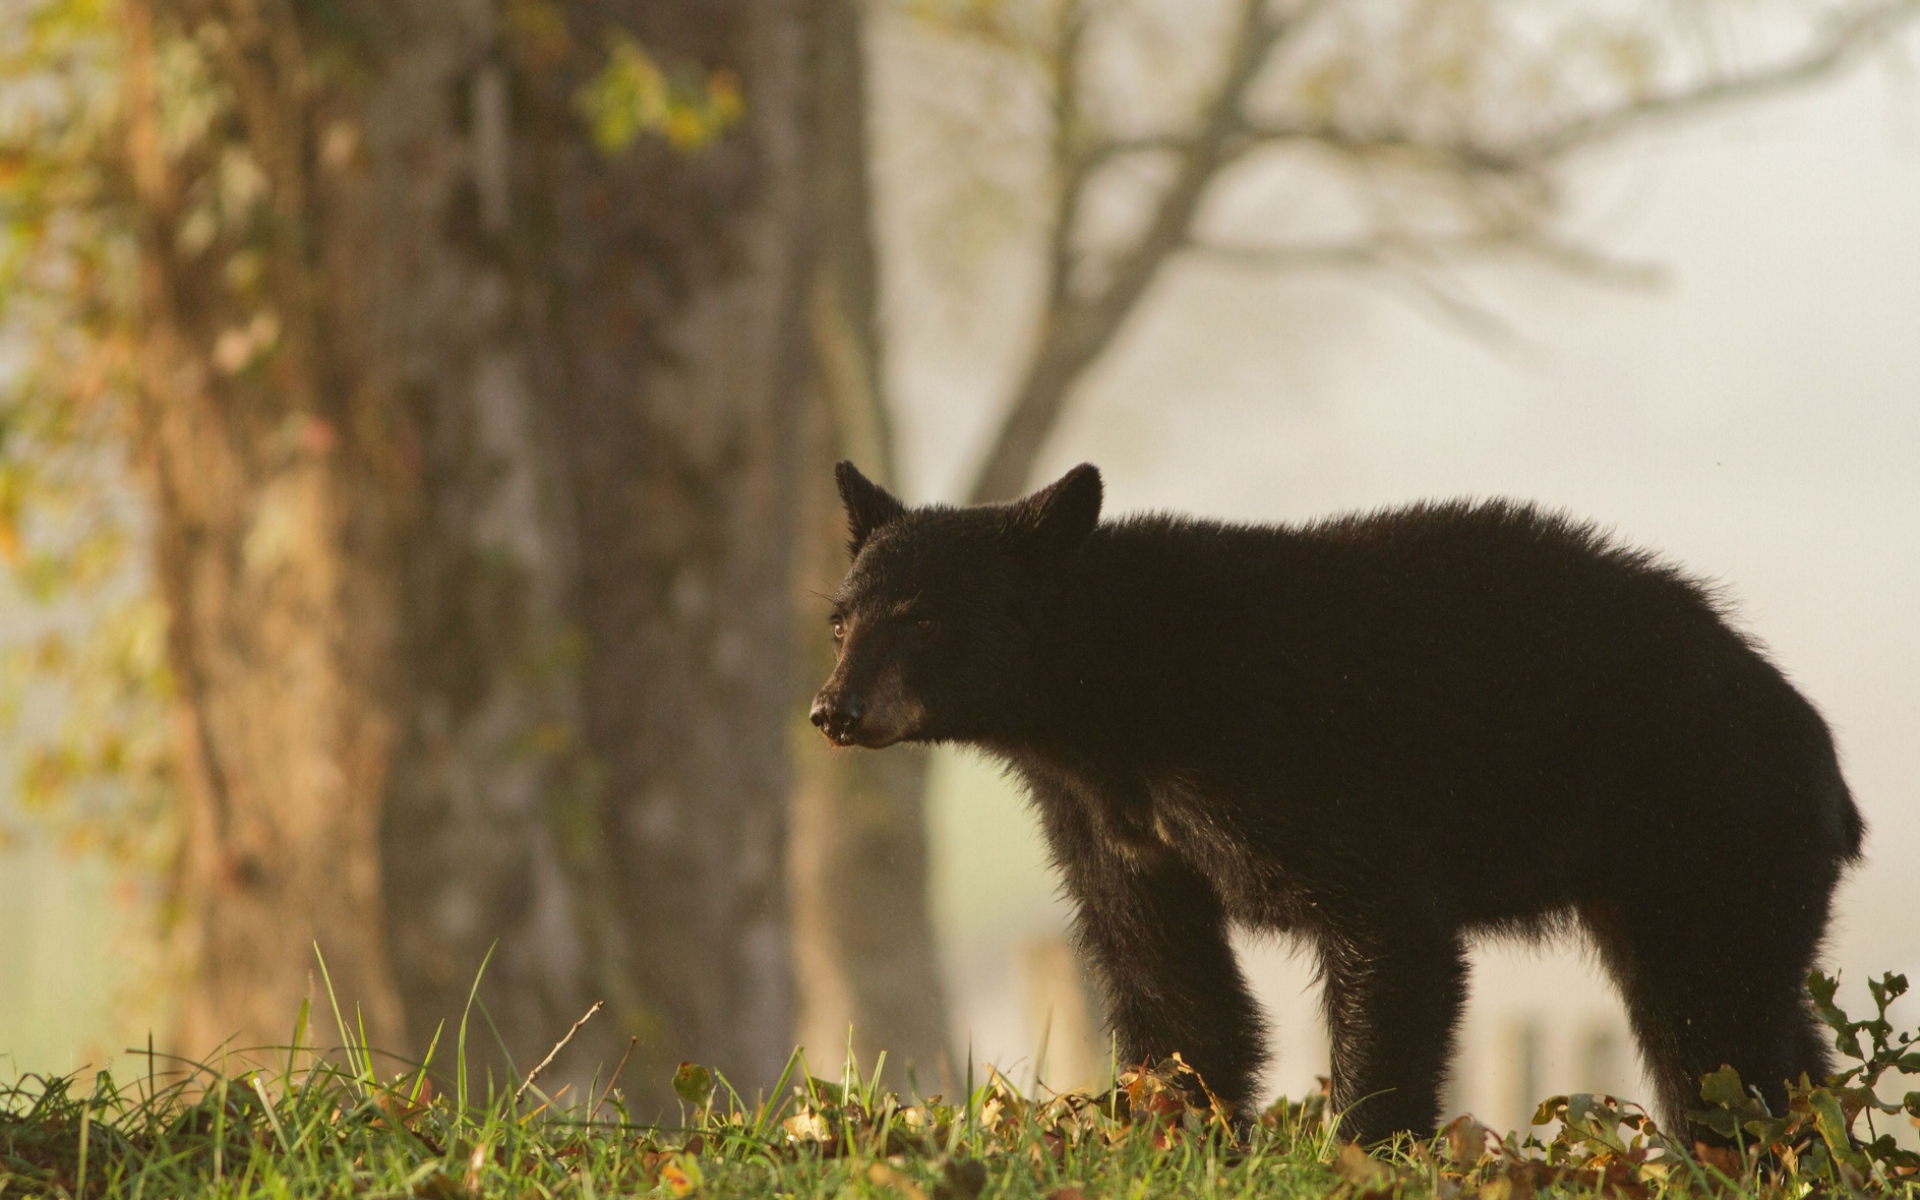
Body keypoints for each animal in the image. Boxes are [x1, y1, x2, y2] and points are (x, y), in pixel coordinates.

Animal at [809, 460, 1864, 1145]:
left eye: (925, 618)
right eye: (841, 618)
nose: (834, 710)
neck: (1118, 699)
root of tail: (1829, 769)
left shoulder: (1289, 767)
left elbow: (1387, 932)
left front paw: (1361, 1146)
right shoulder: (1107, 820)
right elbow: (1164, 972)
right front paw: (1174, 1135)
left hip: (1711, 834)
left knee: (1715, 1037)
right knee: (1768, 1033)